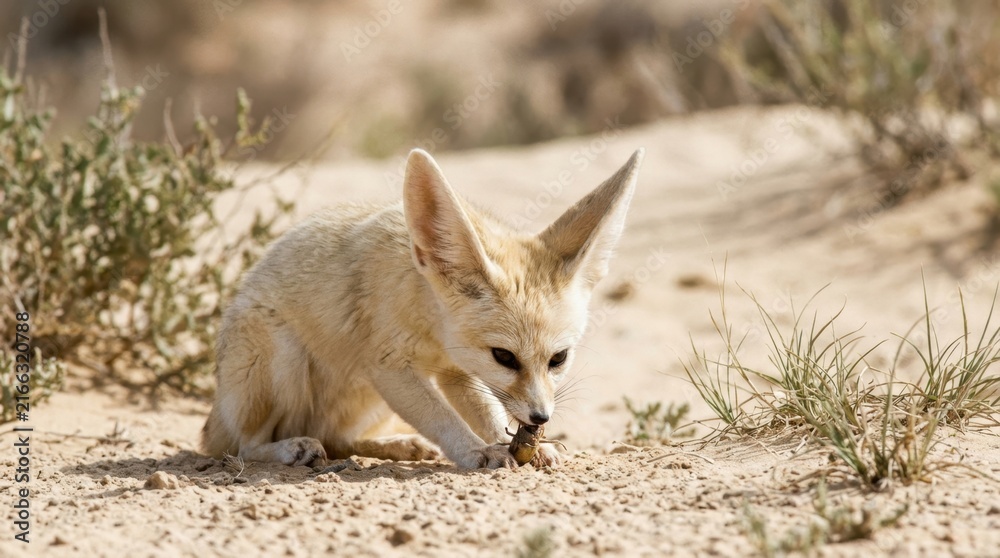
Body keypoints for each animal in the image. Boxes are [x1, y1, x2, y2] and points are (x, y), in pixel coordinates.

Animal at [201, 147, 644, 469]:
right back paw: (290, 448)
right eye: (504, 357)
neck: (433, 331)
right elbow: (441, 418)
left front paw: (522, 446)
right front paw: (477, 451)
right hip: (285, 358)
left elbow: (487, 411)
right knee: (242, 446)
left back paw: (399, 445)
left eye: (559, 359)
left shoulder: (456, 372)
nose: (540, 418)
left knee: (336, 439)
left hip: (365, 398)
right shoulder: (389, 369)